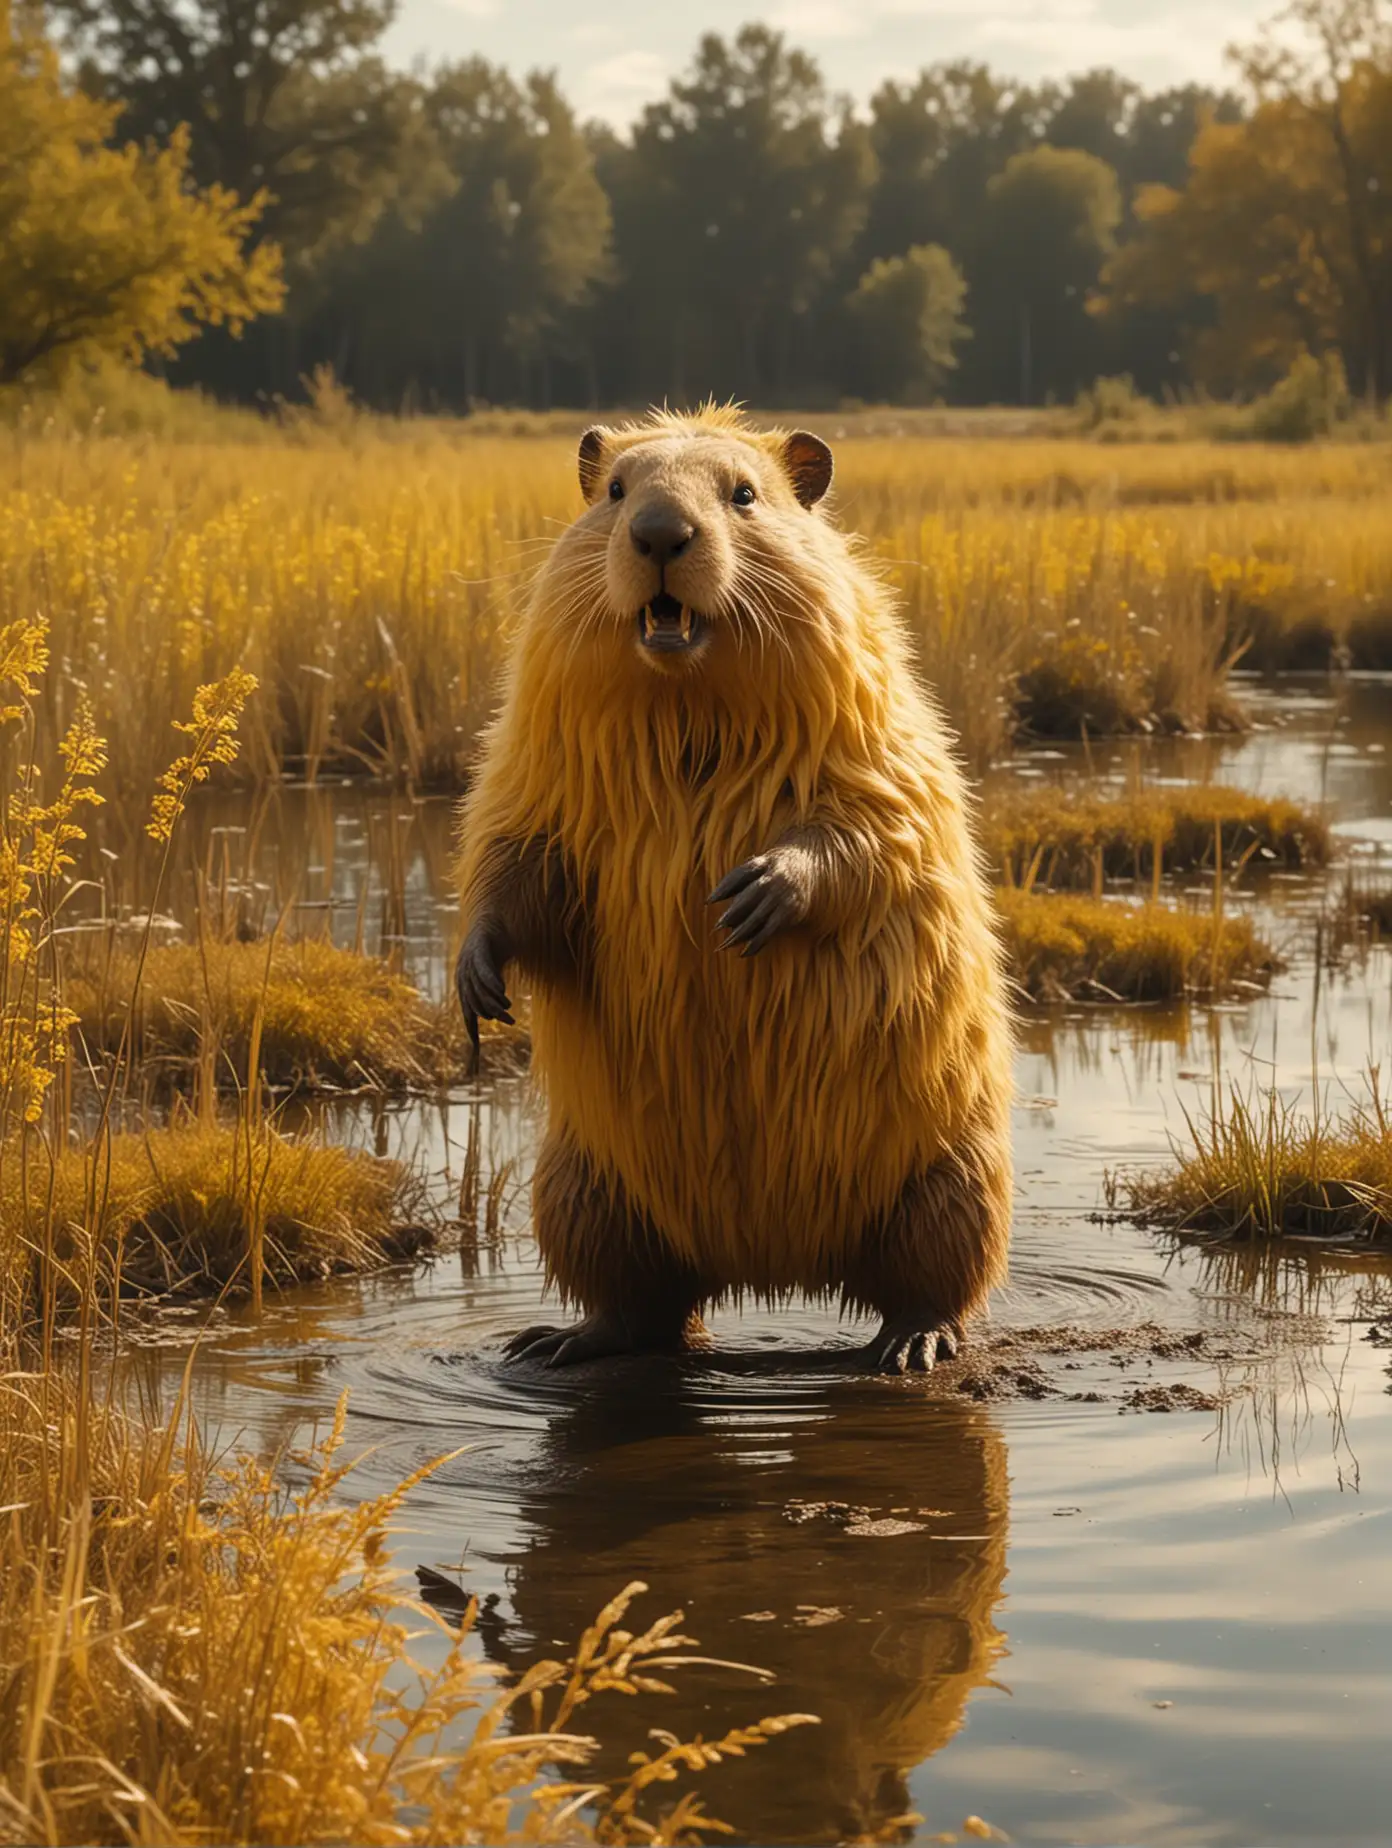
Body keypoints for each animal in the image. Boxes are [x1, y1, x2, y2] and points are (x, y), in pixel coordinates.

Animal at [456, 404, 1013, 1367]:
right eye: (614, 490)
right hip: (582, 1184)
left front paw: (752, 895)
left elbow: (878, 828)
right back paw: (554, 1340)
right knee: (639, 1302)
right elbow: (519, 857)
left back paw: (912, 1343)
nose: (660, 533)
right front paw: (479, 982)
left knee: (938, 1275)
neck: (690, 706)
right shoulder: (541, 761)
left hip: (953, 1174)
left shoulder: (880, 738)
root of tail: (773, 1272)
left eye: (744, 494)